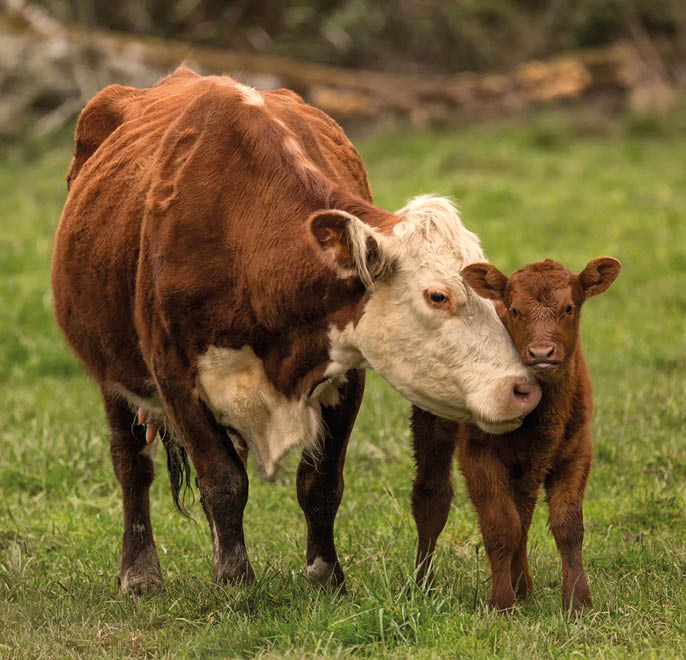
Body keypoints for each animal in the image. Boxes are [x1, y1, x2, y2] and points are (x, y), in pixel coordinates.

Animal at [51, 66, 541, 594]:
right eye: (438, 296)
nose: (523, 389)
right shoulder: (175, 377)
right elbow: (222, 481)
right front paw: (236, 583)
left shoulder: (346, 372)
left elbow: (319, 483)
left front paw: (325, 575)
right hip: (113, 375)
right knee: (132, 465)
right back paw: (140, 572)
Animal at [410, 257, 621, 613]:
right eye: (514, 310)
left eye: (569, 307)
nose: (541, 353)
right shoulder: (478, 452)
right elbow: (500, 525)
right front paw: (501, 603)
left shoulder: (577, 450)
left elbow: (567, 526)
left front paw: (578, 602)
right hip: (430, 422)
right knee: (431, 498)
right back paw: (423, 586)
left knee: (523, 512)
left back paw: (524, 587)